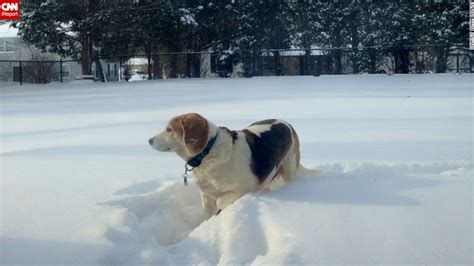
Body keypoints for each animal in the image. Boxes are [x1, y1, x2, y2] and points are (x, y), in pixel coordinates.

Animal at [148, 113, 318, 219]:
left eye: (169, 129)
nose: (149, 140)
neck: (207, 154)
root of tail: (286, 123)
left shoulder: (243, 190)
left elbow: (221, 201)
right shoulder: (206, 197)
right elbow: (207, 214)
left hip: (289, 169)